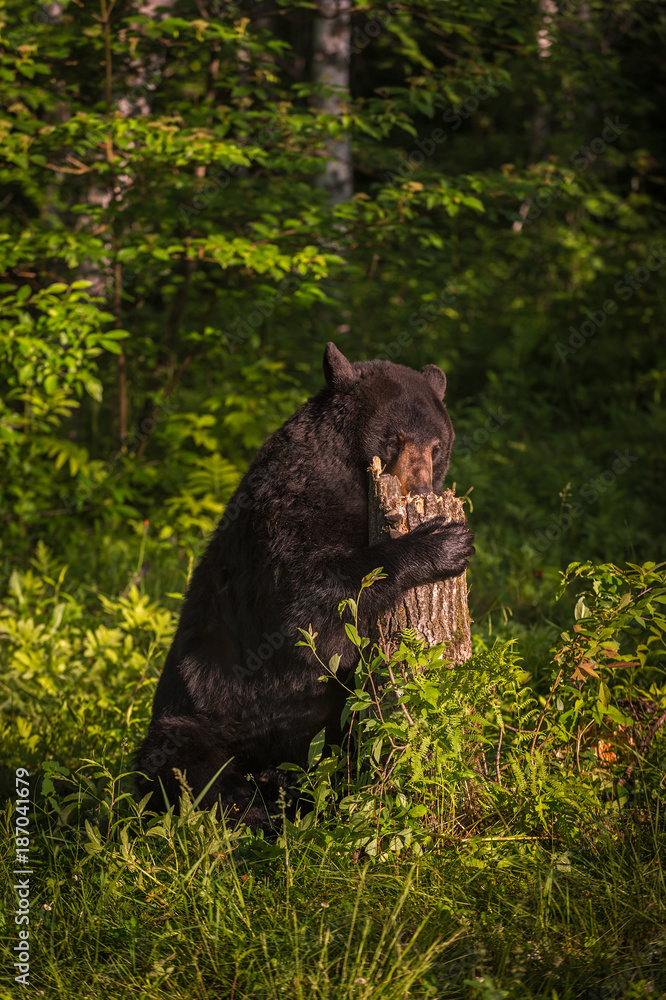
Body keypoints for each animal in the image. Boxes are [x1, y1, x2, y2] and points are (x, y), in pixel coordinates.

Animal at [135, 343, 474, 827]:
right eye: (393, 438)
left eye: (436, 445)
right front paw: (441, 543)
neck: (350, 482)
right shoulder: (288, 510)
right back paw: (253, 809)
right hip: (205, 715)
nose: (421, 488)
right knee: (184, 764)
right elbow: (307, 604)